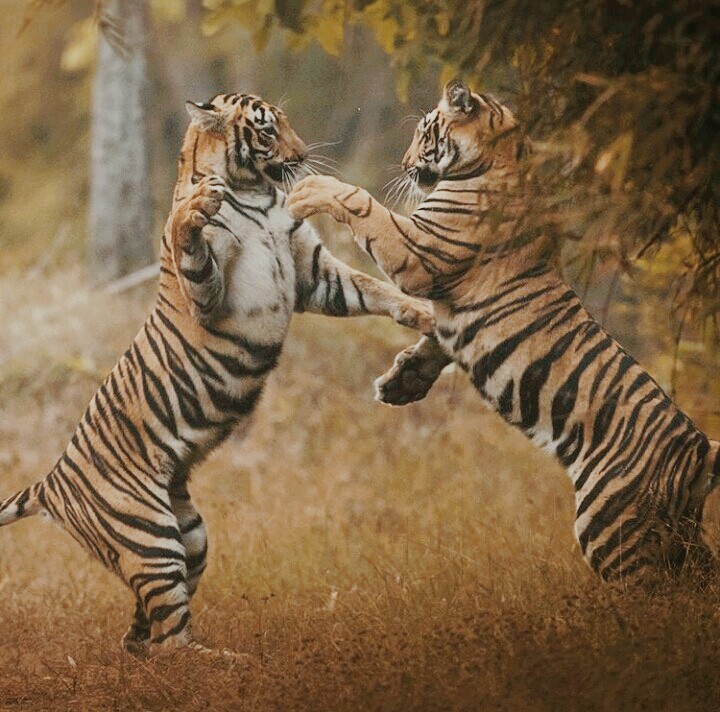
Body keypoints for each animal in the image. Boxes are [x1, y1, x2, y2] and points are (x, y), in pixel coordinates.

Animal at [0, 92, 434, 658]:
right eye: (268, 131)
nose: (303, 154)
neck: (258, 195)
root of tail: (51, 482)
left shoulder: (312, 273)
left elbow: (371, 286)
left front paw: (421, 313)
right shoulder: (213, 295)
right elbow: (190, 241)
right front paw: (197, 206)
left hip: (190, 535)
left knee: (147, 631)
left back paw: (155, 647)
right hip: (150, 534)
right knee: (170, 642)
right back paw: (226, 660)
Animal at [287, 80, 720, 585]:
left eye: (423, 131)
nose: (404, 163)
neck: (505, 155)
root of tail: (697, 449)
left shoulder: (418, 251)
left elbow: (360, 201)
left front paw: (306, 190)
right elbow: (435, 340)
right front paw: (402, 382)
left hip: (612, 522)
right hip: (677, 536)